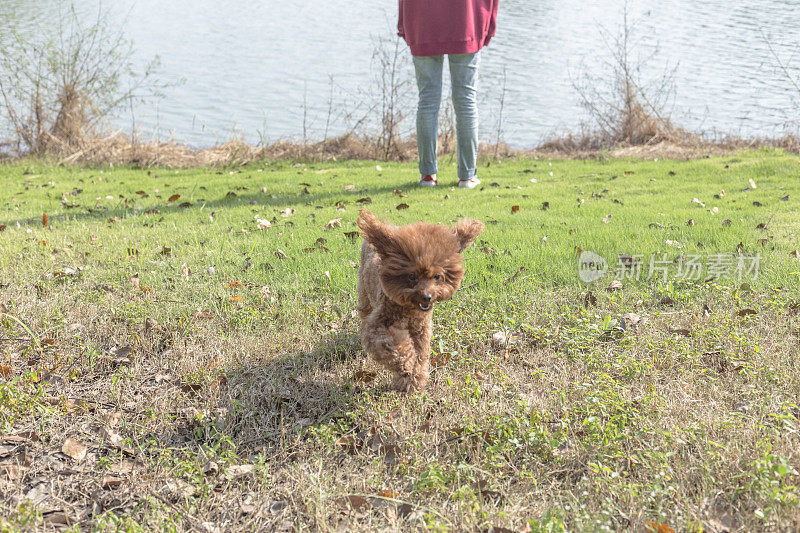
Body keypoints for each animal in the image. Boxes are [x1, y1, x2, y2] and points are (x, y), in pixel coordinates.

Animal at [356, 209, 482, 390]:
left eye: (437, 276)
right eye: (411, 276)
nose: (427, 297)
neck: (409, 310)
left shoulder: (421, 330)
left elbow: (421, 355)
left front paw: (412, 382)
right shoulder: (379, 324)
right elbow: (392, 345)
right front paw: (405, 366)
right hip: (364, 293)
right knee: (365, 311)